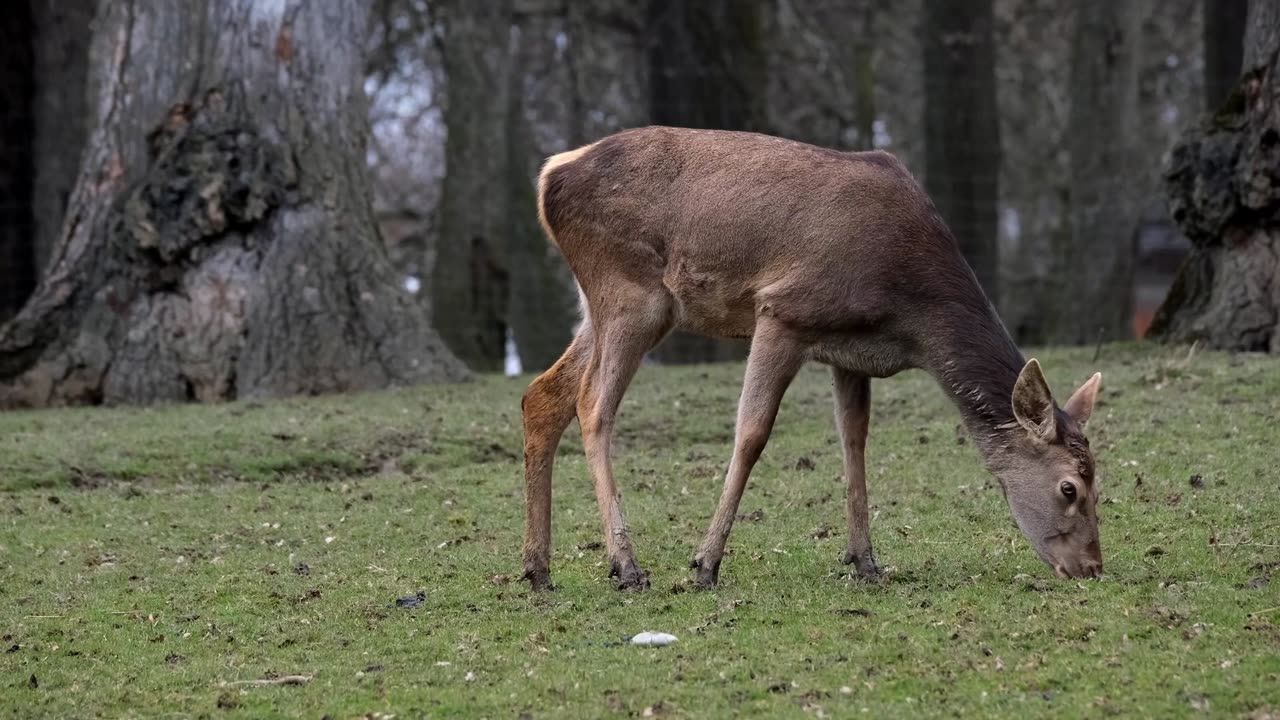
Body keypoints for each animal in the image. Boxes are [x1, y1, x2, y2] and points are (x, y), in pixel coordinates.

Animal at [519, 127, 1100, 589]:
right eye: (1069, 486)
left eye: (1100, 478)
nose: (1092, 567)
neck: (910, 314)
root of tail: (549, 175)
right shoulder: (783, 311)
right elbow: (752, 433)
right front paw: (705, 564)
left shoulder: (853, 353)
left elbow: (854, 440)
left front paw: (866, 562)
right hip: (632, 292)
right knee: (592, 405)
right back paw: (626, 564)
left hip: (604, 304)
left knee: (542, 395)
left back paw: (538, 568)